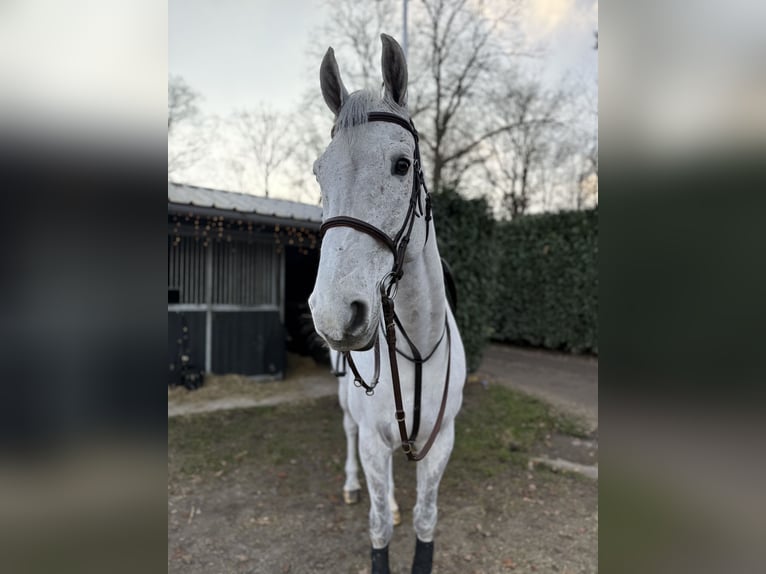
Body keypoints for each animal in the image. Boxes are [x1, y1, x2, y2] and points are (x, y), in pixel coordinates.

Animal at [309, 34, 467, 574]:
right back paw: (351, 485)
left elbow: (425, 520)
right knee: (348, 435)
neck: (414, 348)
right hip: (349, 411)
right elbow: (377, 527)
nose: (335, 313)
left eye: (402, 164)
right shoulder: (374, 443)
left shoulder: (441, 442)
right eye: (319, 173)